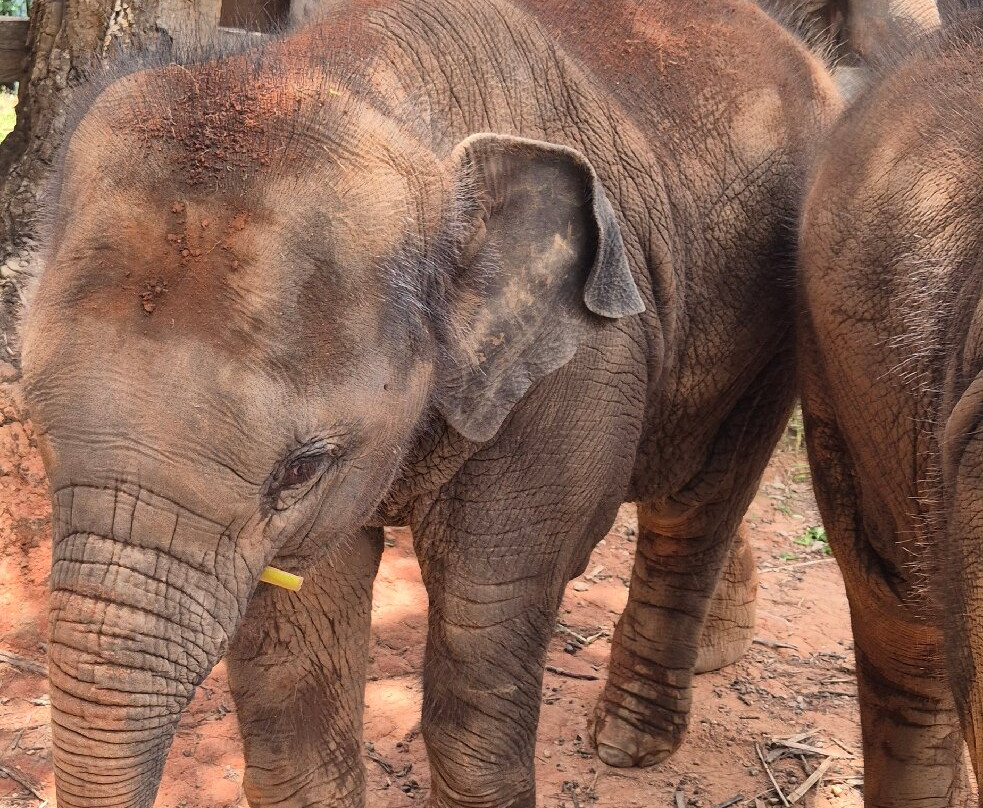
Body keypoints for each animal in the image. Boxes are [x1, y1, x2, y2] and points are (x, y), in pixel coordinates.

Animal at [20, 2, 840, 807]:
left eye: (301, 468)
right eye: (35, 426)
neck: (357, 79)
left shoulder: (580, 365)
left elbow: (487, 608)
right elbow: (298, 649)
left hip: (776, 318)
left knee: (697, 503)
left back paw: (626, 743)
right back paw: (715, 654)